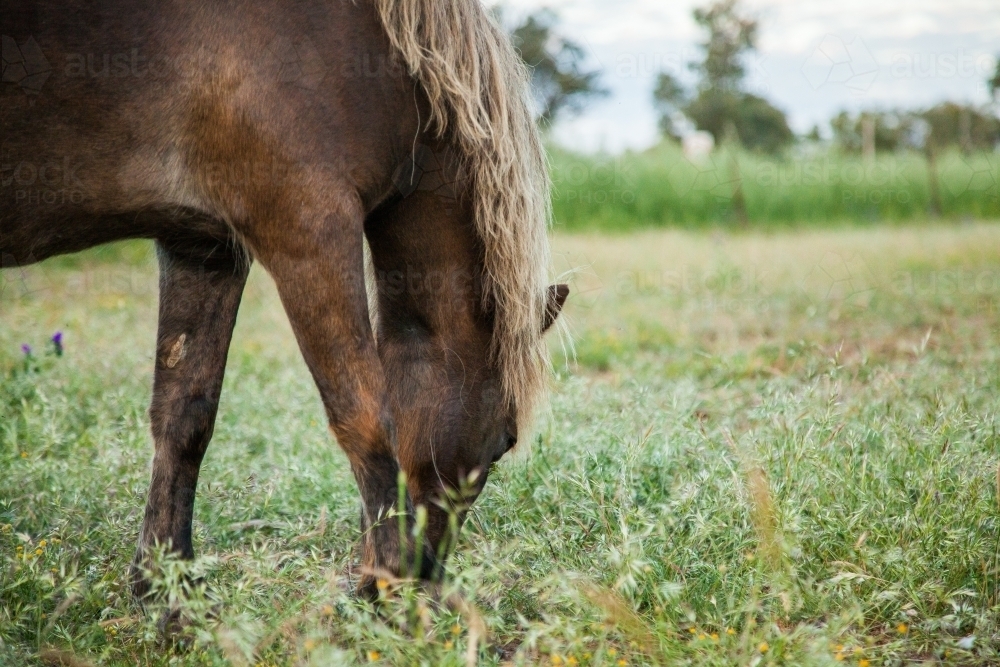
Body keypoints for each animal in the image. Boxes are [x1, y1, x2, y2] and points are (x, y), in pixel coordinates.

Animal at [0, 0, 564, 604]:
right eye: (505, 440)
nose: (427, 575)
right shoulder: (307, 229)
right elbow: (364, 417)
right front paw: (385, 585)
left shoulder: (203, 246)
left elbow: (184, 415)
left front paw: (167, 588)